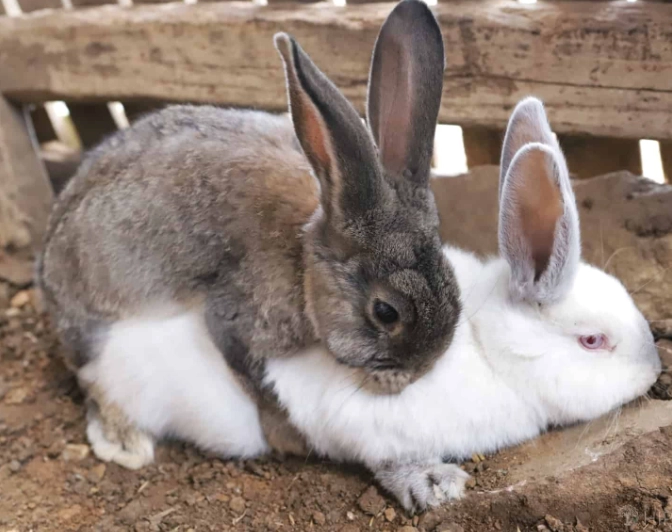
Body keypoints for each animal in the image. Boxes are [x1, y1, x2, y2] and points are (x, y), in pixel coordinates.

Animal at [36, 0, 461, 471]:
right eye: (386, 312)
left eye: (453, 282)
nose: (421, 370)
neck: (304, 265)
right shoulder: (236, 318)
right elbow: (258, 383)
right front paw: (284, 434)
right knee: (93, 382)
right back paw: (126, 445)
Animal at [262, 97, 663, 512]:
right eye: (592, 341)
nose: (655, 368)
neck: (488, 348)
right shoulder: (353, 416)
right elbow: (386, 455)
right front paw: (434, 485)